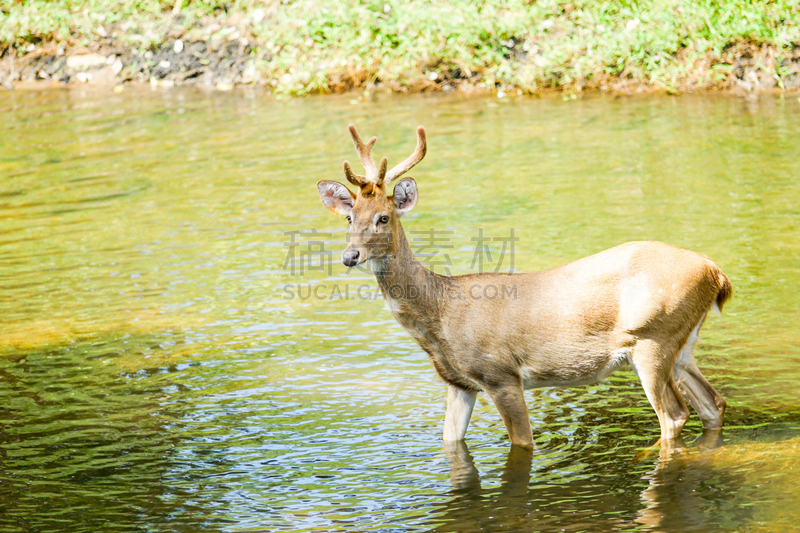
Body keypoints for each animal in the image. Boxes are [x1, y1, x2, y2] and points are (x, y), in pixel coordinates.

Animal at [318, 123, 732, 448]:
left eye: (383, 218)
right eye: (350, 218)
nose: (350, 255)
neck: (440, 315)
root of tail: (715, 271)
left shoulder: (500, 374)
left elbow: (523, 442)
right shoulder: (459, 383)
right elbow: (449, 441)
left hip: (653, 339)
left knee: (674, 416)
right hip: (681, 344)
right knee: (713, 403)